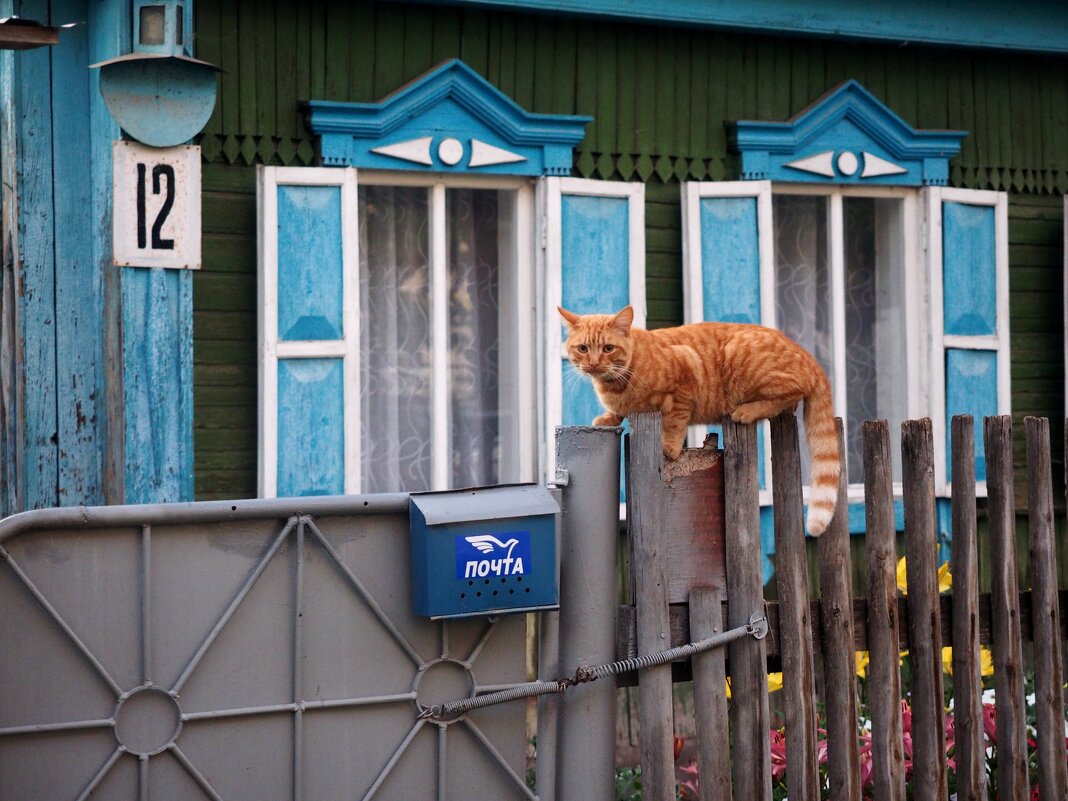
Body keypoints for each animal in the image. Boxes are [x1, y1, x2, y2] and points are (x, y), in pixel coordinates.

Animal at [559, 303, 841, 536]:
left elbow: (675, 421)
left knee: (792, 392)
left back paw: (746, 411)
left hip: (746, 360)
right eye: (583, 349)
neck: (616, 384)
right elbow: (619, 412)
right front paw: (608, 418)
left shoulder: (685, 376)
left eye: (608, 349)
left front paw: (670, 446)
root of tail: (806, 354)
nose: (594, 364)